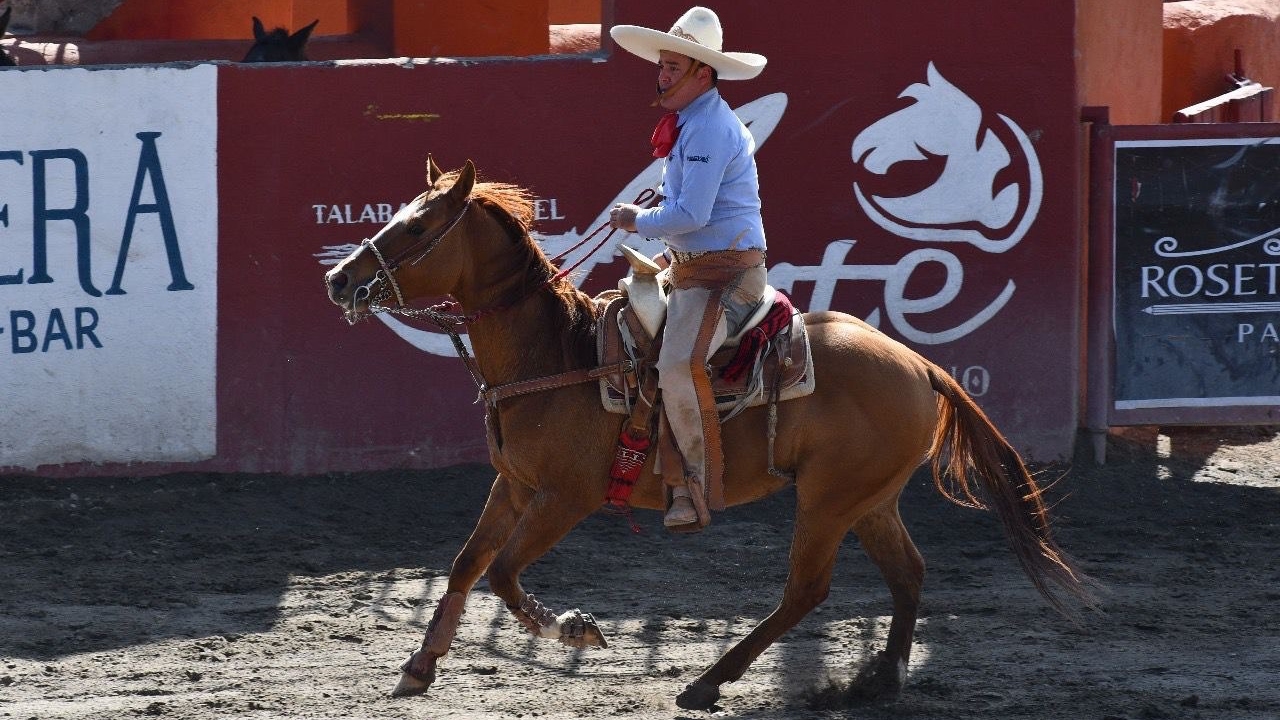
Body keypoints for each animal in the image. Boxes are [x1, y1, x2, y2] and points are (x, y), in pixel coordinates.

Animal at [325, 155, 1095, 707]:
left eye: (416, 228)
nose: (340, 279)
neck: (557, 356)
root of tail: (919, 364)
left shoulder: (566, 497)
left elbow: (505, 574)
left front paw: (574, 629)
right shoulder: (513, 486)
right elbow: (466, 564)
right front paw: (420, 665)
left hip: (829, 501)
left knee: (806, 590)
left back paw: (707, 682)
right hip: (870, 498)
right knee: (907, 571)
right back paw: (879, 681)